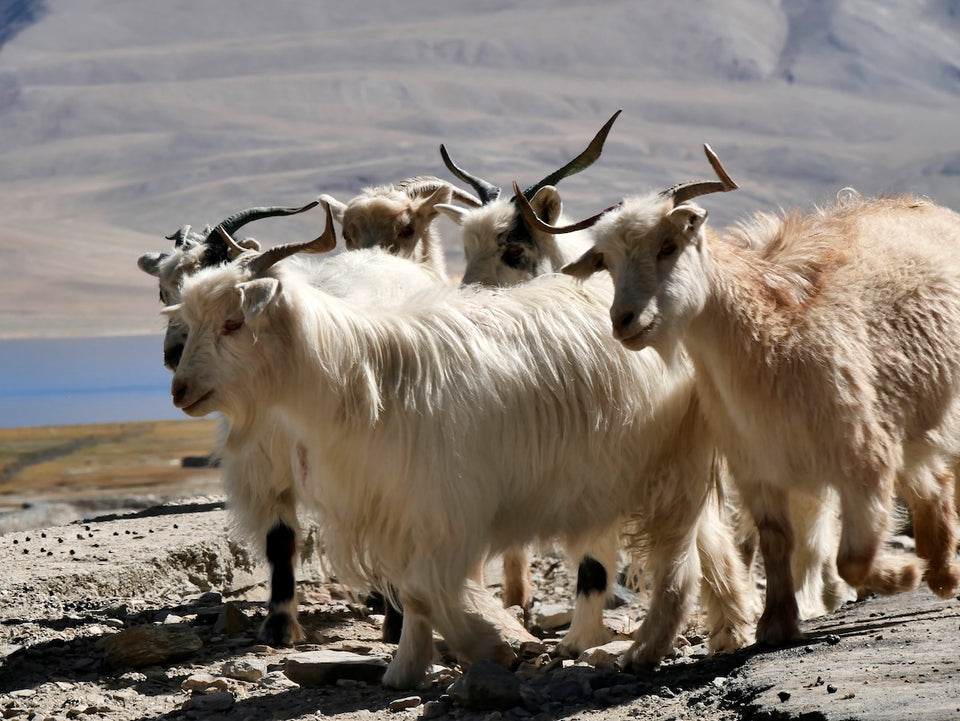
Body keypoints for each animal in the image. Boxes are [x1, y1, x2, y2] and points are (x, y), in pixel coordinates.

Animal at [138, 201, 441, 646]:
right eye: (164, 291)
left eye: (234, 321)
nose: (176, 365)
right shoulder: (268, 463)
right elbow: (281, 541)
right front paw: (279, 626)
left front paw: (399, 623)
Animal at [166, 207, 755, 688]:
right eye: (189, 319)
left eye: (233, 322)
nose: (179, 390)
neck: (366, 376)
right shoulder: (397, 510)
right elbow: (413, 594)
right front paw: (405, 669)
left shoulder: (446, 508)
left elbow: (426, 589)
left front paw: (489, 646)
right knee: (707, 543)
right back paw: (728, 628)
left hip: (674, 466)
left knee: (677, 566)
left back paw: (647, 650)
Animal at [525, 146, 960, 645]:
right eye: (609, 262)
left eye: (668, 247)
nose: (624, 321)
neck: (774, 341)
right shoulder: (755, 465)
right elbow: (775, 541)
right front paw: (775, 623)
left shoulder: (864, 460)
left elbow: (851, 559)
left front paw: (904, 574)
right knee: (933, 479)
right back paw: (943, 572)